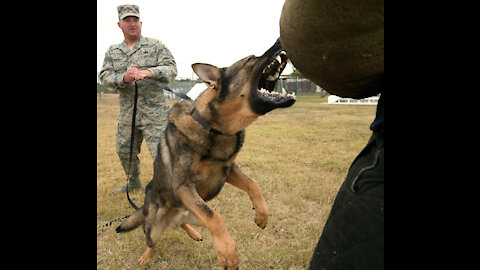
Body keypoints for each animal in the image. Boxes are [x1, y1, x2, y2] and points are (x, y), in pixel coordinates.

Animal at [116, 38, 296, 270]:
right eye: (250, 60)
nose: (280, 40)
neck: (213, 127)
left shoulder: (228, 170)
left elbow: (253, 185)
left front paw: (262, 214)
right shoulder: (184, 187)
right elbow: (215, 216)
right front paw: (228, 251)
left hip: (192, 214)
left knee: (184, 223)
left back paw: (193, 233)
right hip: (154, 226)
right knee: (151, 241)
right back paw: (146, 257)